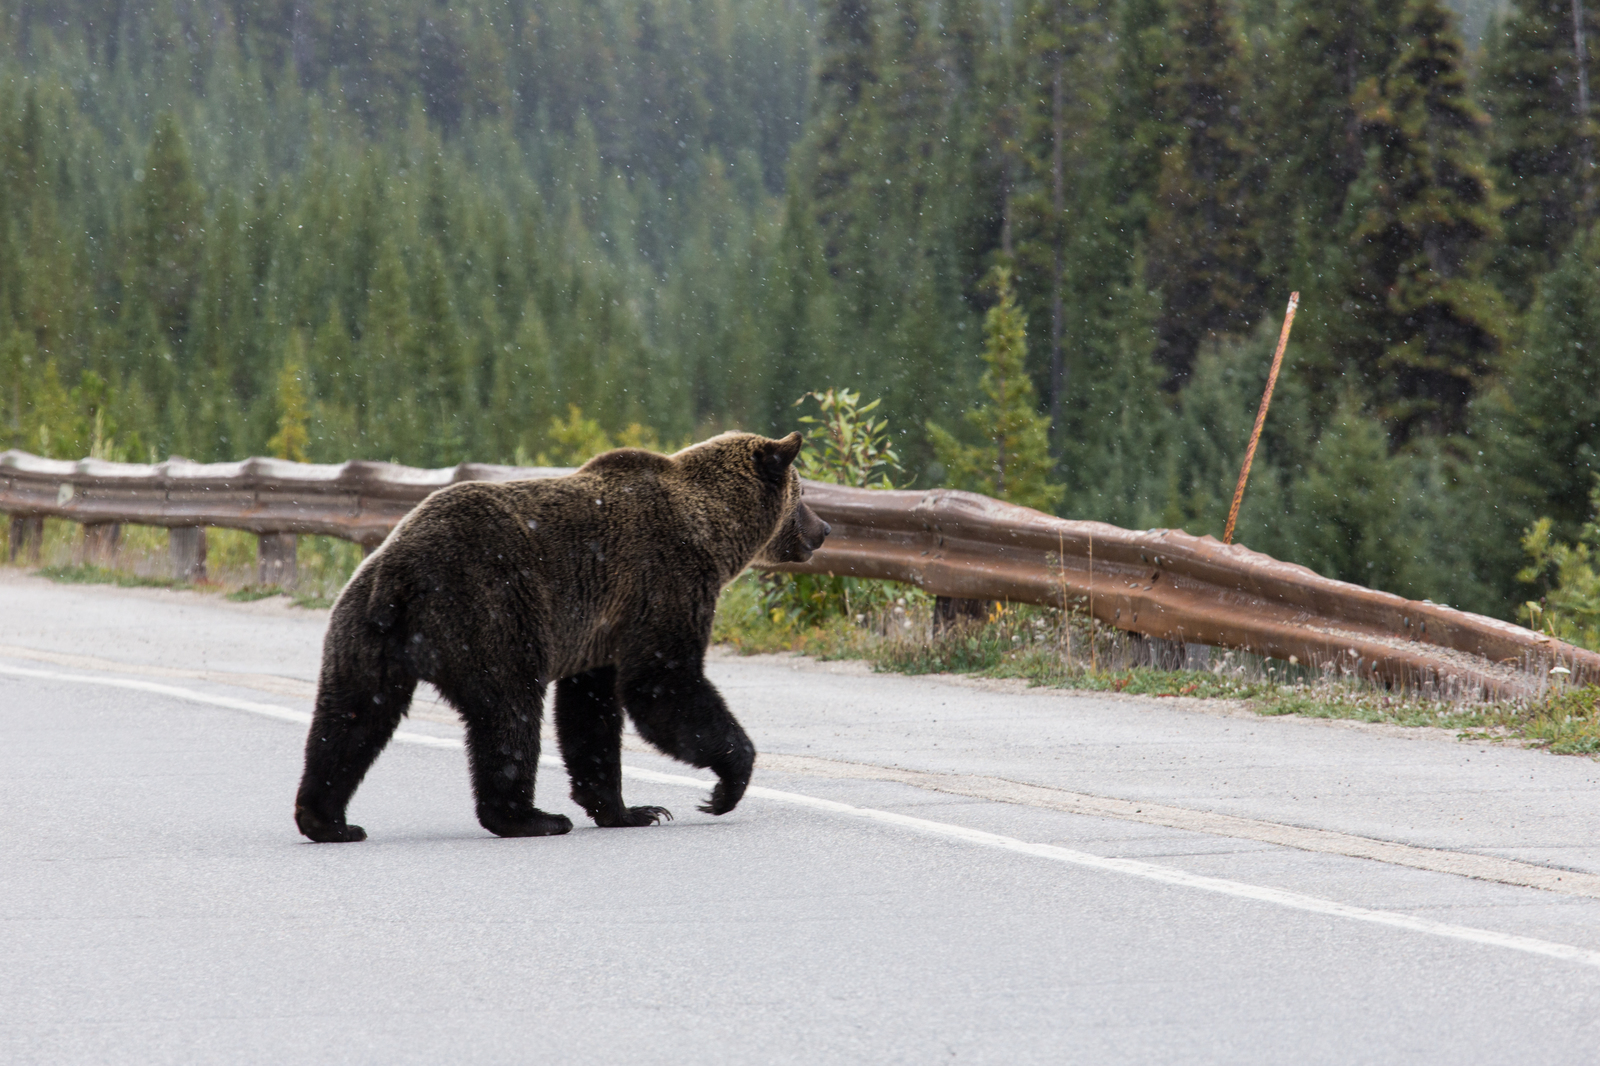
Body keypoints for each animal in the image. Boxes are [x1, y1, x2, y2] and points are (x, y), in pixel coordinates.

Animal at [292, 428, 832, 838]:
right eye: (803, 494)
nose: (824, 529)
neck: (714, 531)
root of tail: (399, 572)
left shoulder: (603, 628)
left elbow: (591, 710)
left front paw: (630, 810)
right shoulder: (666, 578)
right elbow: (662, 683)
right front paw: (722, 787)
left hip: (363, 632)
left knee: (351, 717)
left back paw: (329, 821)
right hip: (491, 608)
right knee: (509, 711)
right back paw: (531, 818)